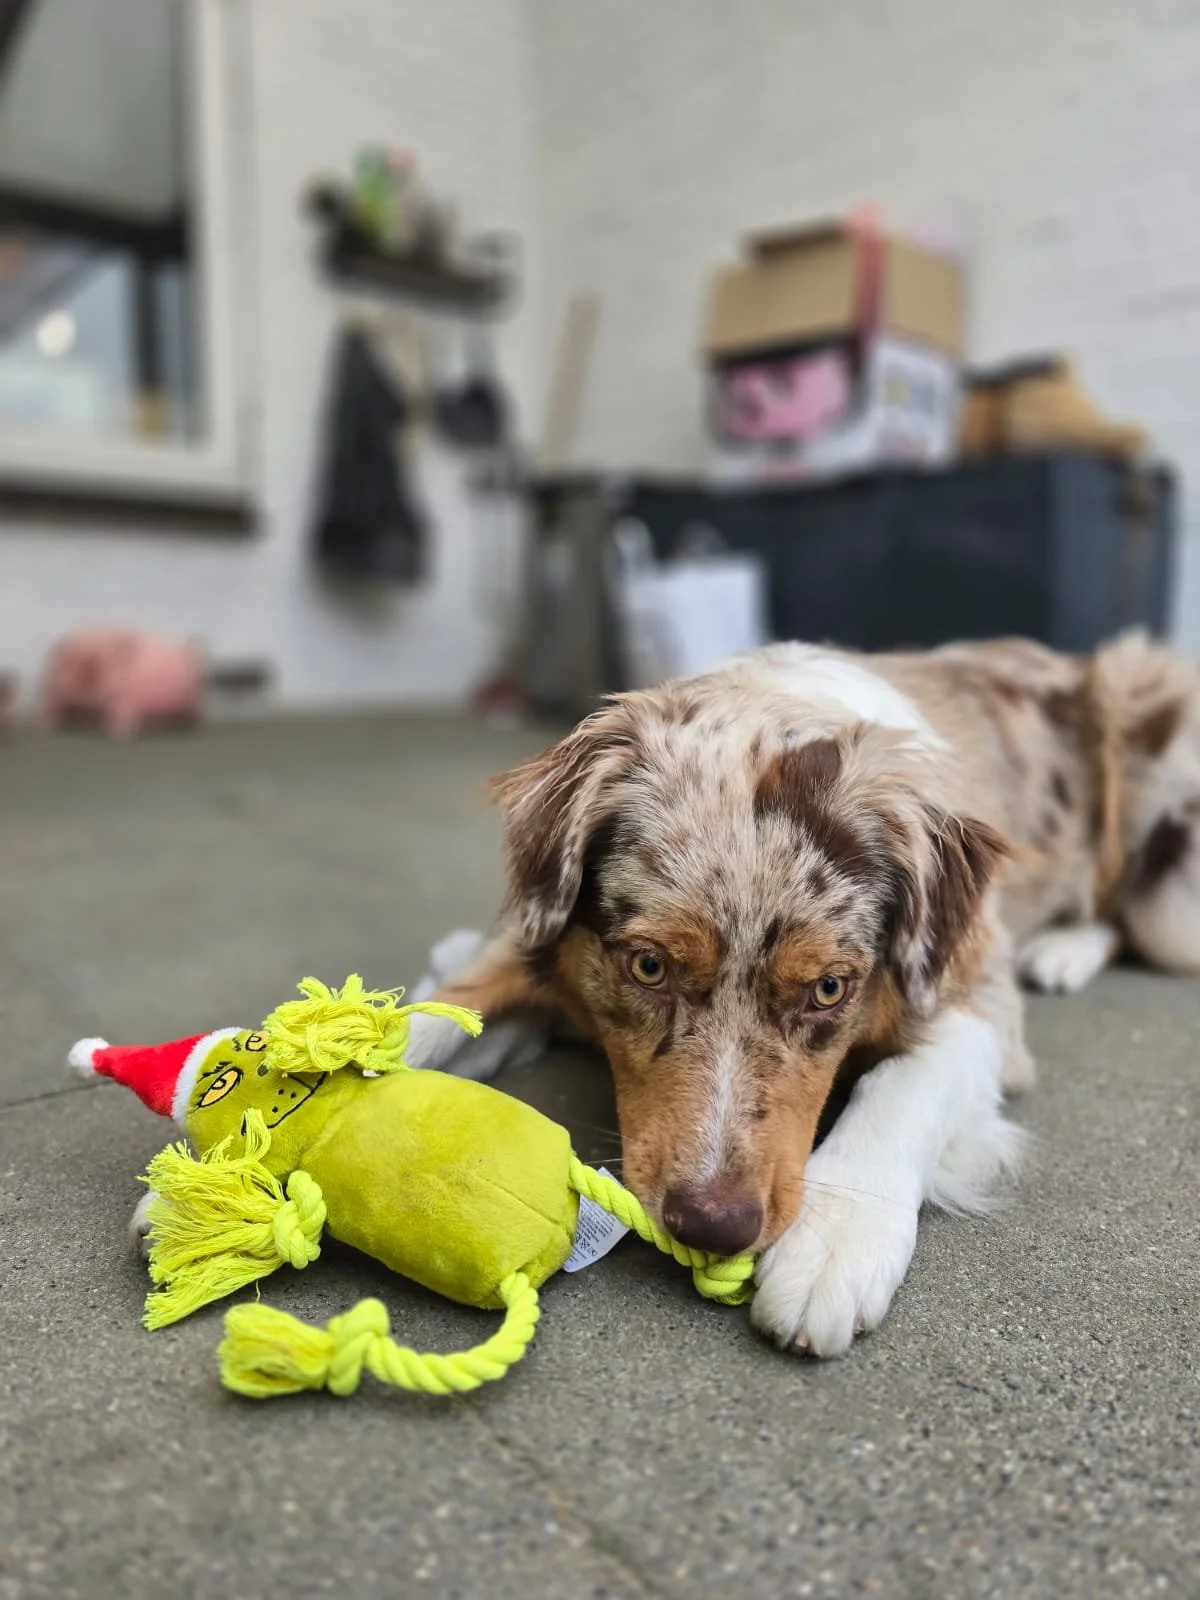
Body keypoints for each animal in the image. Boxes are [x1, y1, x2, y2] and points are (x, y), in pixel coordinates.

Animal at [397, 630, 1200, 1357]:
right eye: (650, 967)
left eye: (828, 988)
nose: (713, 1225)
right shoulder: (546, 949)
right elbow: (437, 1015)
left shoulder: (972, 994)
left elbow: (903, 1085)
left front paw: (835, 1240)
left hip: (1160, 869)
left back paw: (1063, 950)